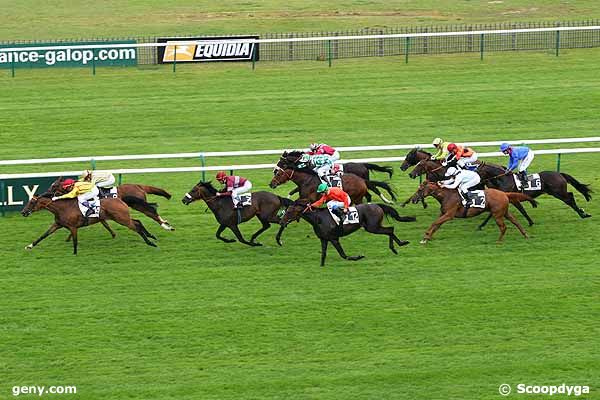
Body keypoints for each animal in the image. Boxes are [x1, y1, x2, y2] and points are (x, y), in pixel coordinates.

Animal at [21, 193, 157, 253]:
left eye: (32, 202)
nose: (23, 212)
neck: (62, 208)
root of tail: (119, 199)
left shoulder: (73, 227)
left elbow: (75, 241)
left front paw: (75, 253)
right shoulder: (57, 225)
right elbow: (43, 235)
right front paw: (30, 246)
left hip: (122, 219)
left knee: (136, 226)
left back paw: (151, 243)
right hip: (122, 218)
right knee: (137, 222)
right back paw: (151, 237)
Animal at [276, 199, 412, 266]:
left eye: (289, 212)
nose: (281, 221)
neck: (318, 218)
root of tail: (376, 205)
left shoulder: (334, 238)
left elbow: (343, 255)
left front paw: (358, 257)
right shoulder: (324, 239)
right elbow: (323, 254)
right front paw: (321, 267)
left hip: (373, 227)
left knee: (390, 229)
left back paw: (397, 246)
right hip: (373, 227)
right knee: (390, 230)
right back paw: (398, 246)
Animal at [408, 181, 536, 244]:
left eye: (420, 190)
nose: (413, 199)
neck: (446, 195)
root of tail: (504, 193)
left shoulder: (449, 215)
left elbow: (434, 223)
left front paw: (425, 236)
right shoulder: (443, 213)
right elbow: (437, 225)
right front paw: (427, 238)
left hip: (497, 214)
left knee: (503, 227)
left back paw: (499, 241)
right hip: (504, 212)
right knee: (515, 221)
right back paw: (525, 235)